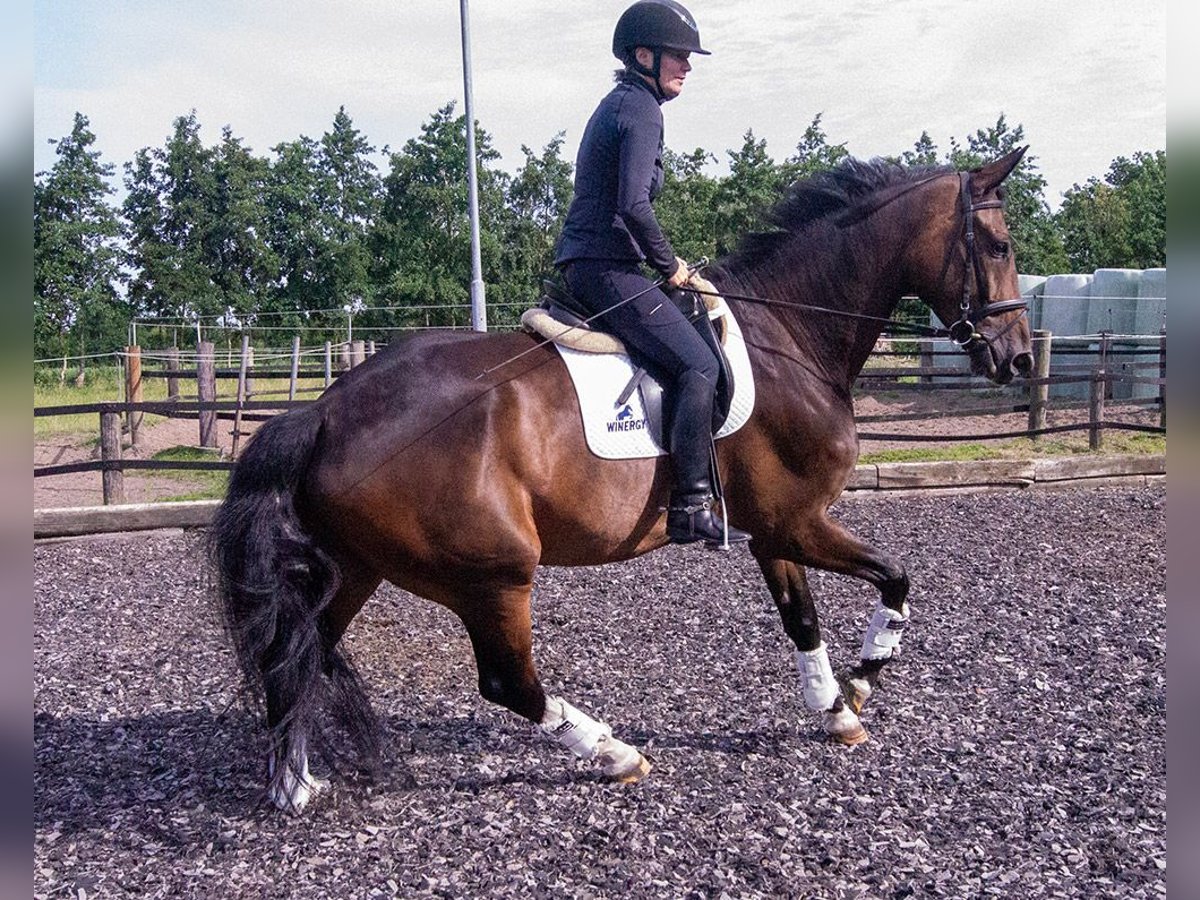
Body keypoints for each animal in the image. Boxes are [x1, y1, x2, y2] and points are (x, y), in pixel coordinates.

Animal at [211, 144, 1036, 816]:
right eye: (997, 244)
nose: (1019, 358)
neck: (790, 335)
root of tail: (324, 412)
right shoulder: (798, 520)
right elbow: (896, 577)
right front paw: (865, 676)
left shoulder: (774, 529)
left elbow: (802, 618)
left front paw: (836, 708)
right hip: (492, 572)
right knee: (506, 682)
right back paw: (614, 753)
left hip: (356, 567)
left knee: (296, 653)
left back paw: (294, 786)